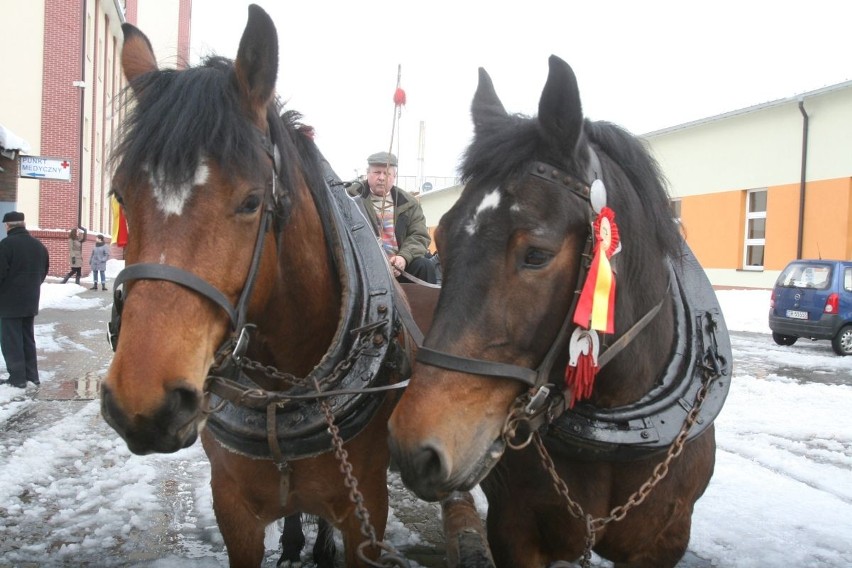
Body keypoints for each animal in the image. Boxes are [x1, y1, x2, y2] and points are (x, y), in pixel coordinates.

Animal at [100, 5, 406, 568]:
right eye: (121, 196)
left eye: (250, 201)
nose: (144, 405)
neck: (283, 394)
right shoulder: (233, 508)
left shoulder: (367, 508)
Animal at [390, 54, 728, 568]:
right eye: (442, 240)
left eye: (536, 255)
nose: (416, 448)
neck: (617, 426)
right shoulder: (515, 531)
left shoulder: (662, 543)